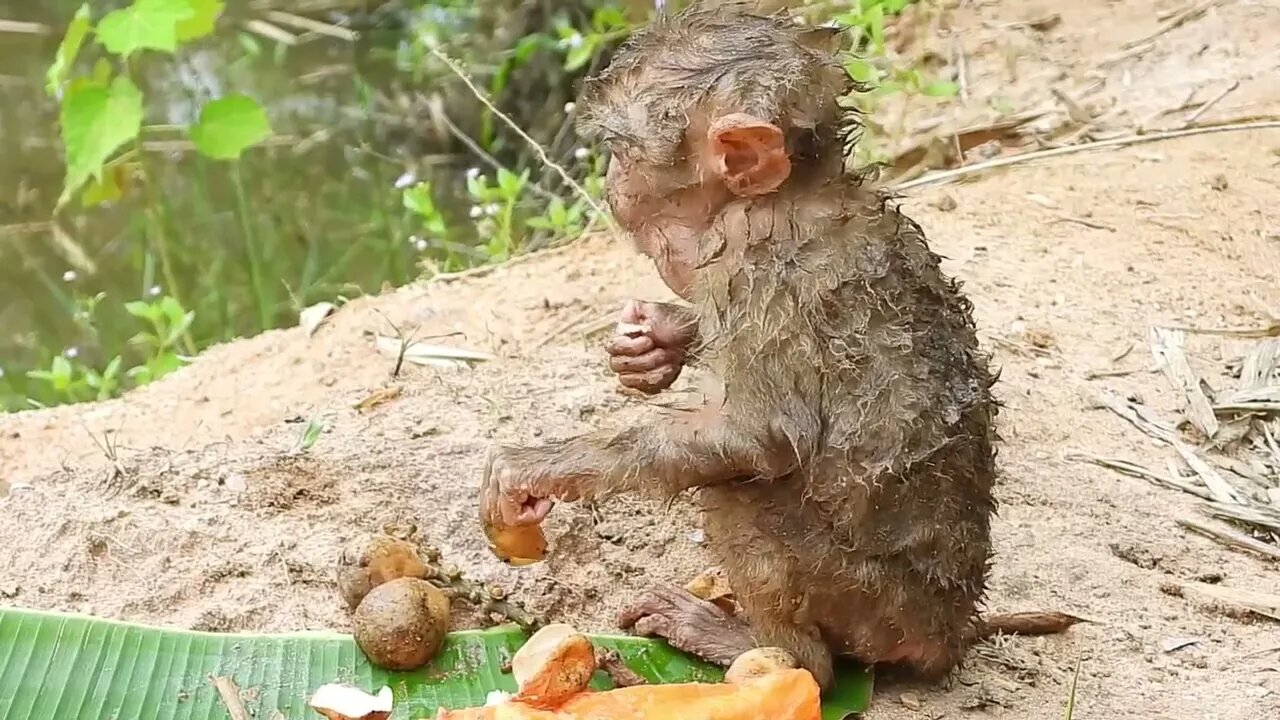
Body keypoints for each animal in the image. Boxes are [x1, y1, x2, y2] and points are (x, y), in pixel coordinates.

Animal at [481, 1, 1070, 691]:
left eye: (621, 152)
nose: (609, 179)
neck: (791, 195)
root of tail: (947, 633)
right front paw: (655, 342)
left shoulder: (752, 264)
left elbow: (759, 436)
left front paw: (538, 466)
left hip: (863, 601)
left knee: (741, 493)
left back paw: (764, 651)